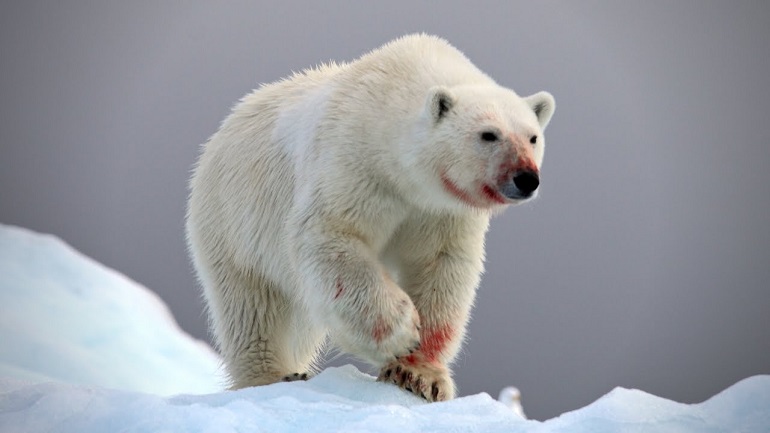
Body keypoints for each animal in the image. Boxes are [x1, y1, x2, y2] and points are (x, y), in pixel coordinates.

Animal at [186, 34, 552, 402]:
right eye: (488, 134)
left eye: (533, 137)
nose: (526, 178)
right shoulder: (353, 163)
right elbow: (331, 234)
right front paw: (402, 332)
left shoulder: (441, 210)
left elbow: (441, 266)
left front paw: (419, 375)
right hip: (234, 224)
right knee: (253, 308)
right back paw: (272, 375)